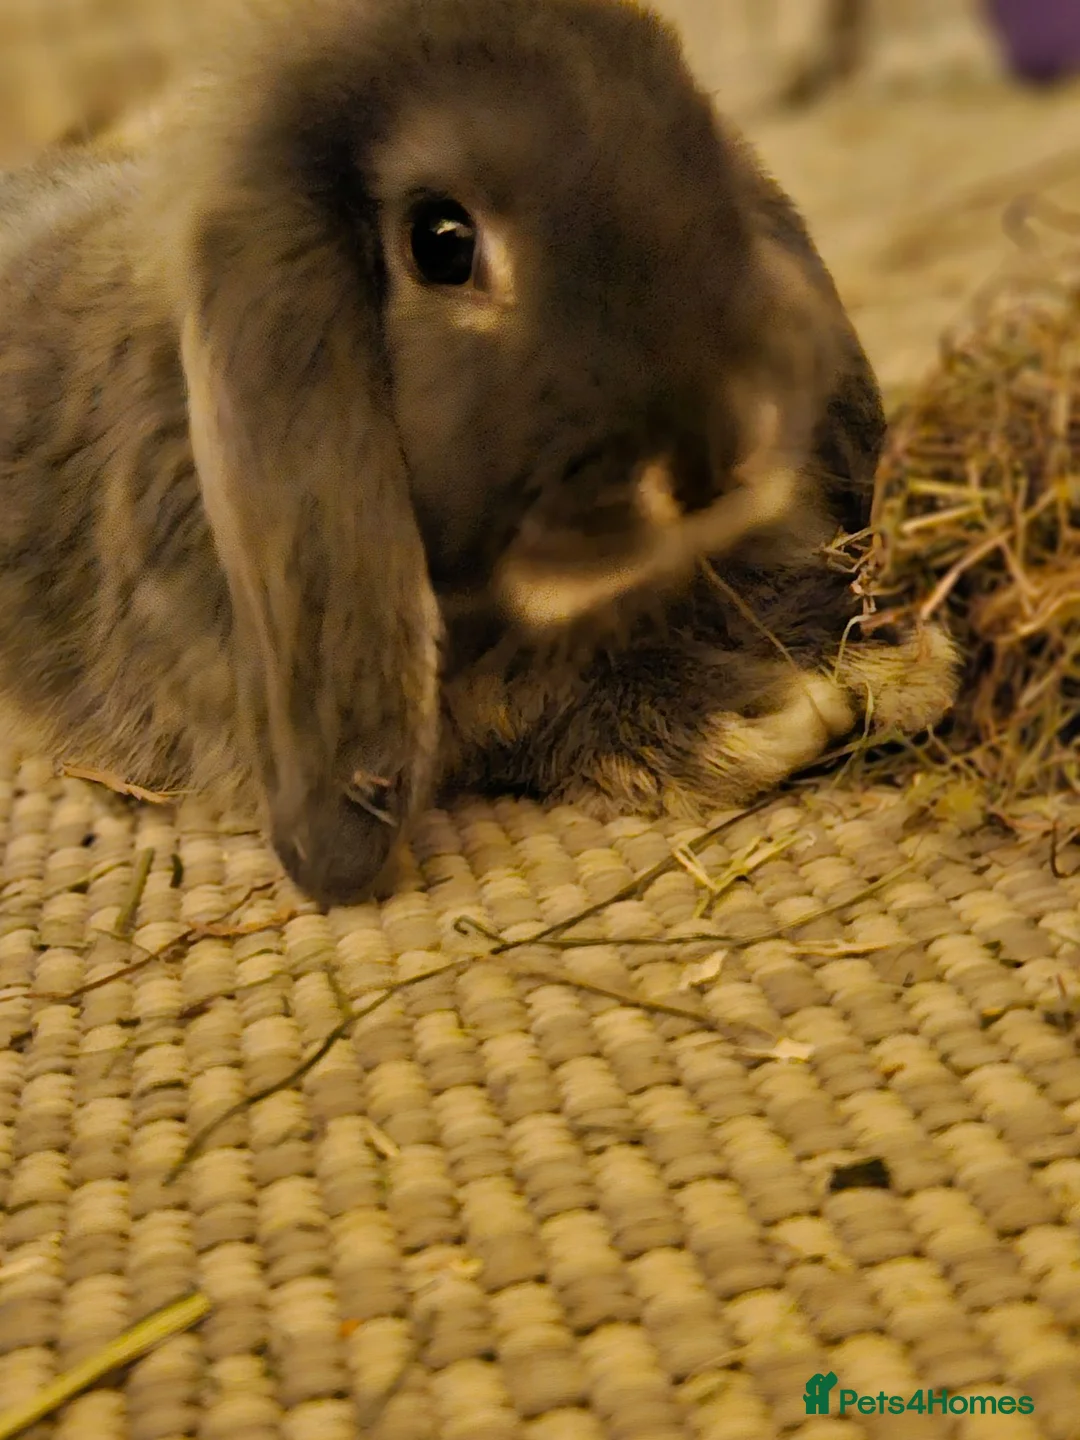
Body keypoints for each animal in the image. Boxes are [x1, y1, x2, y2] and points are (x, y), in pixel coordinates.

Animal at [0, 0, 958, 911]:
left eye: (705, 156)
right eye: (442, 242)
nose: (715, 455)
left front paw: (881, 646)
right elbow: (513, 704)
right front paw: (758, 708)